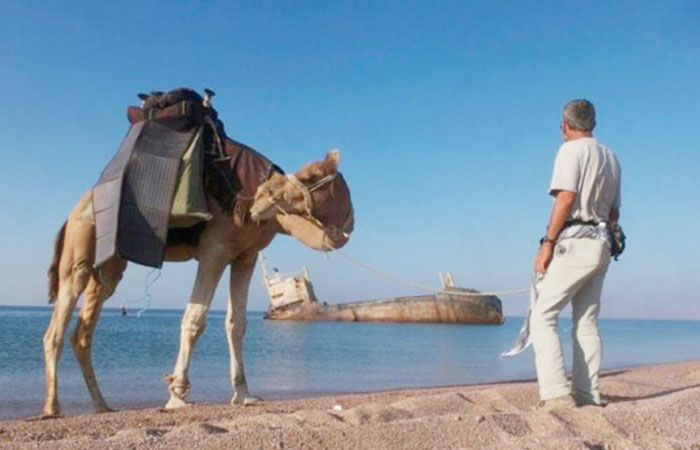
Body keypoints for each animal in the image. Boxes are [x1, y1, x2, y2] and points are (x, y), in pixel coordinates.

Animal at [41, 146, 352, 416]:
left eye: (311, 175)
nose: (262, 195)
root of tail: (70, 215)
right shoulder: (214, 251)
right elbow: (195, 319)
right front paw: (177, 394)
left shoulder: (245, 256)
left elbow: (236, 324)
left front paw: (244, 394)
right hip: (81, 245)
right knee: (57, 323)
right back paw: (52, 407)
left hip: (110, 266)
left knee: (83, 331)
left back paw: (102, 405)